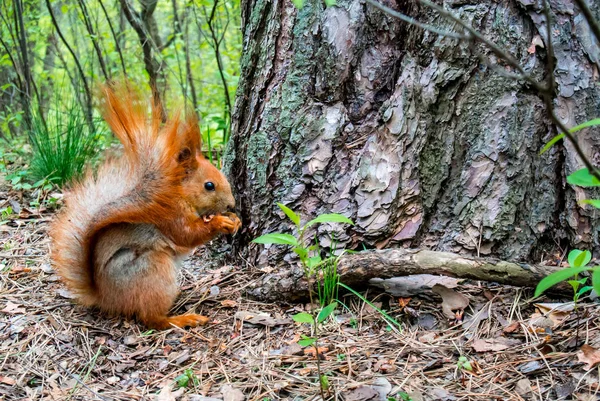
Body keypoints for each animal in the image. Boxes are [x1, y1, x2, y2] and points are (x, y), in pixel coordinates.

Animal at [49, 84, 241, 328]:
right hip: (152, 270)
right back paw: (182, 319)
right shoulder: (170, 216)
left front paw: (235, 221)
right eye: (209, 185)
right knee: (152, 319)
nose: (232, 205)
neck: (179, 195)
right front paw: (220, 222)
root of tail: (105, 299)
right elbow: (187, 235)